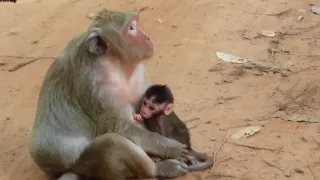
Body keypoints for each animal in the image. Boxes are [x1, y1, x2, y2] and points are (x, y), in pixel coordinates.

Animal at [28, 8, 189, 180]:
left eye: (135, 24)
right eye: (131, 28)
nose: (147, 37)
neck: (116, 64)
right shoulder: (95, 87)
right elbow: (122, 129)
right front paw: (171, 147)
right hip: (87, 166)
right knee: (111, 142)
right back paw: (157, 169)